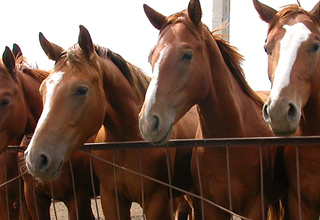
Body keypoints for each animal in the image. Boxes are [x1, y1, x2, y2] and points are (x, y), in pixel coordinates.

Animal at [23, 24, 199, 219]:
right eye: (42, 89)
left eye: (82, 90)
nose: (36, 159)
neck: (128, 143)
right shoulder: (111, 200)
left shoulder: (156, 202)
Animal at [139, 0, 288, 219]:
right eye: (151, 57)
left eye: (187, 55)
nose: (148, 123)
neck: (230, 140)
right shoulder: (212, 207)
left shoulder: (254, 208)